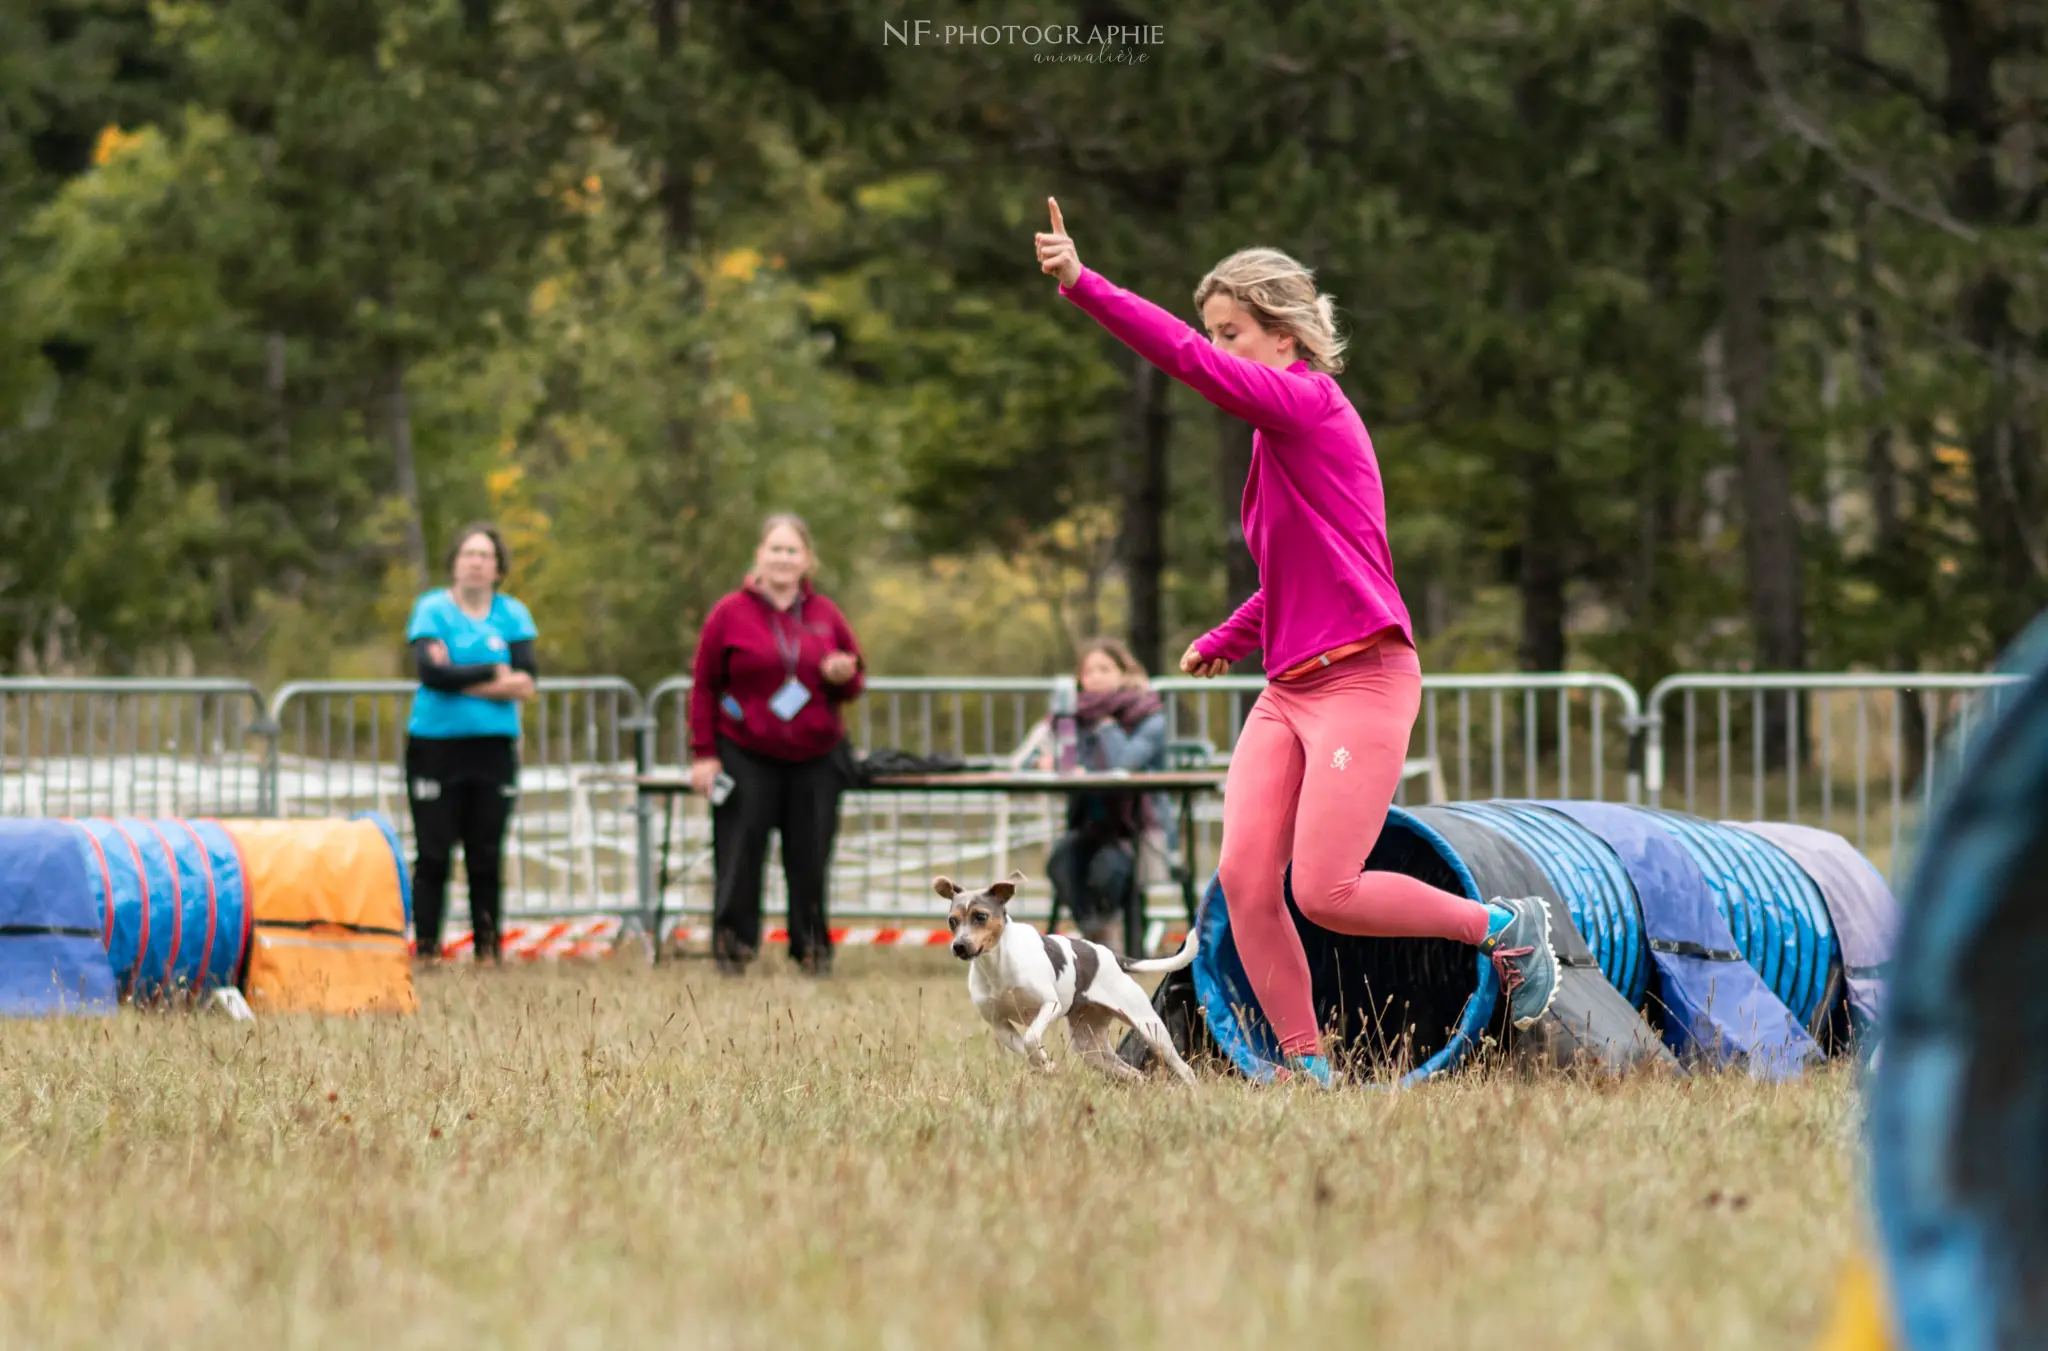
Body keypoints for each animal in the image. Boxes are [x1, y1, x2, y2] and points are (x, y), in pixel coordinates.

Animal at [937, 876, 1204, 1088]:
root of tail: (1113, 957)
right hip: (1089, 1046)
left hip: (1150, 1029)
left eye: (980, 916)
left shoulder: (1050, 1005)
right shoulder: (999, 1024)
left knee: (1184, 1069)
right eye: (952, 921)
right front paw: (1045, 1065)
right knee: (1133, 1073)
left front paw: (1043, 1062)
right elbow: (1026, 1047)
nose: (959, 946)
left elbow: (1031, 1037)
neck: (997, 965)